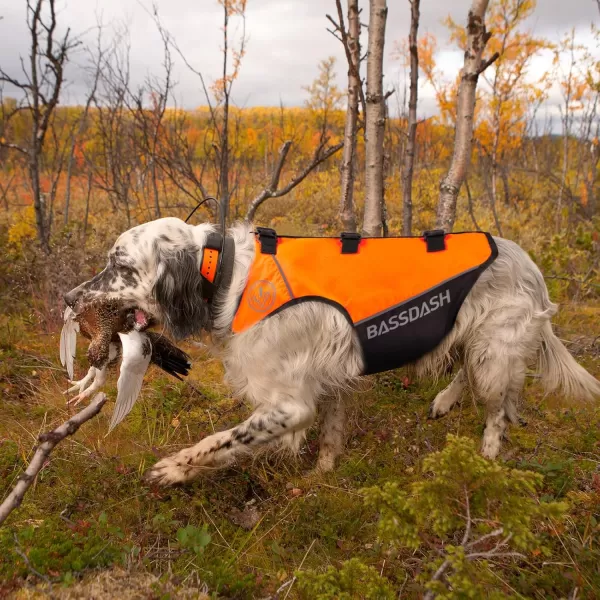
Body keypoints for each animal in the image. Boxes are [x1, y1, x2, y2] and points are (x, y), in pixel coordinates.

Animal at [64, 218, 600, 486]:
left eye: (119, 266)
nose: (69, 299)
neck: (230, 274)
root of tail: (531, 265)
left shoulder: (289, 404)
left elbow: (221, 440)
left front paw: (174, 469)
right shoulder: (329, 379)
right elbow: (332, 431)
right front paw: (322, 472)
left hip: (494, 352)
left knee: (497, 412)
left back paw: (487, 460)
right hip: (480, 345)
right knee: (477, 379)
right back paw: (447, 401)